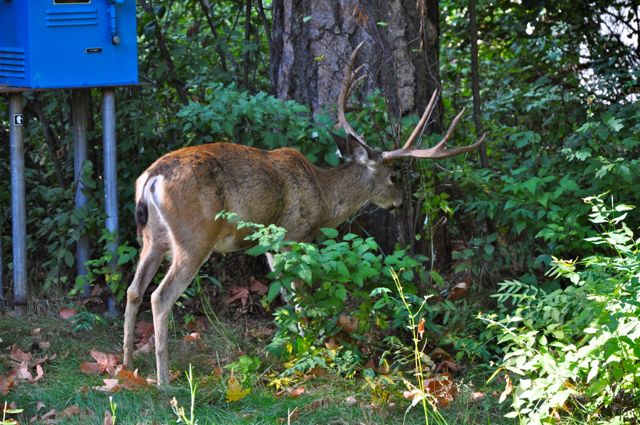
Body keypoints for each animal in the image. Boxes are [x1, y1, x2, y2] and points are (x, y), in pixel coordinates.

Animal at [122, 42, 484, 384]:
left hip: (152, 237)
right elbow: (297, 293)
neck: (323, 195)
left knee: (134, 290)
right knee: (160, 296)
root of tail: (152, 178)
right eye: (391, 176)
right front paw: (308, 344)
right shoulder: (294, 232)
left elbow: (283, 292)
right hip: (194, 236)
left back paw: (126, 367)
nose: (397, 200)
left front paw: (291, 340)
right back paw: (164, 380)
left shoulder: (268, 241)